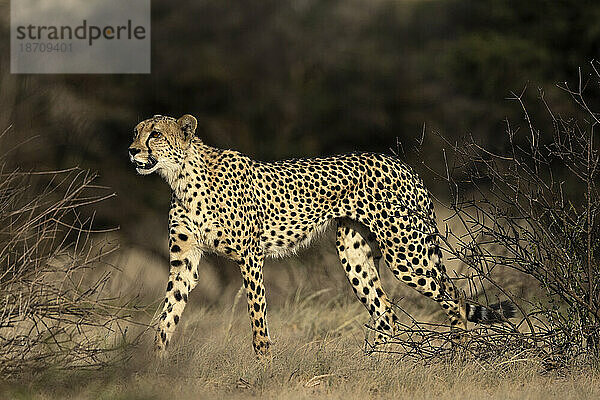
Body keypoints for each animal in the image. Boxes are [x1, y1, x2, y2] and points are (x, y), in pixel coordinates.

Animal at [129, 114, 512, 354]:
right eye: (135, 132)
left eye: (155, 134)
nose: (132, 151)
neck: (181, 177)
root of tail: (401, 163)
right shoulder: (184, 262)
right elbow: (167, 316)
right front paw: (156, 365)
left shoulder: (251, 257)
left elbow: (257, 320)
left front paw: (264, 364)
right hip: (354, 253)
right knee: (386, 312)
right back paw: (373, 366)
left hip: (406, 253)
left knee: (455, 299)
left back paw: (457, 356)